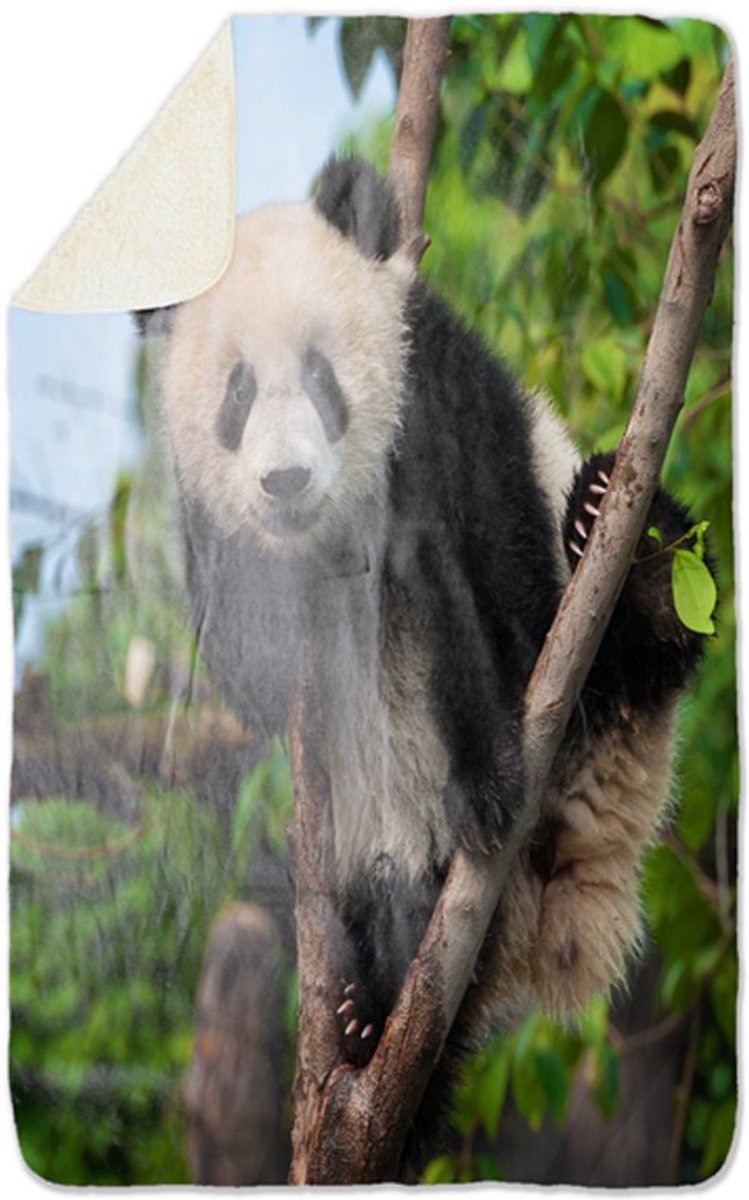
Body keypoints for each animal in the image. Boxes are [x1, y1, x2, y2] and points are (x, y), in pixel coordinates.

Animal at [137, 158, 707, 1080]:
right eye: (238, 393)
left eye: (321, 376)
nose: (287, 482)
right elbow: (251, 673)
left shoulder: (441, 391)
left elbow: (495, 600)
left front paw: (483, 788)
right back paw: (370, 1012)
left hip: (604, 684)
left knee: (640, 635)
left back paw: (628, 548)